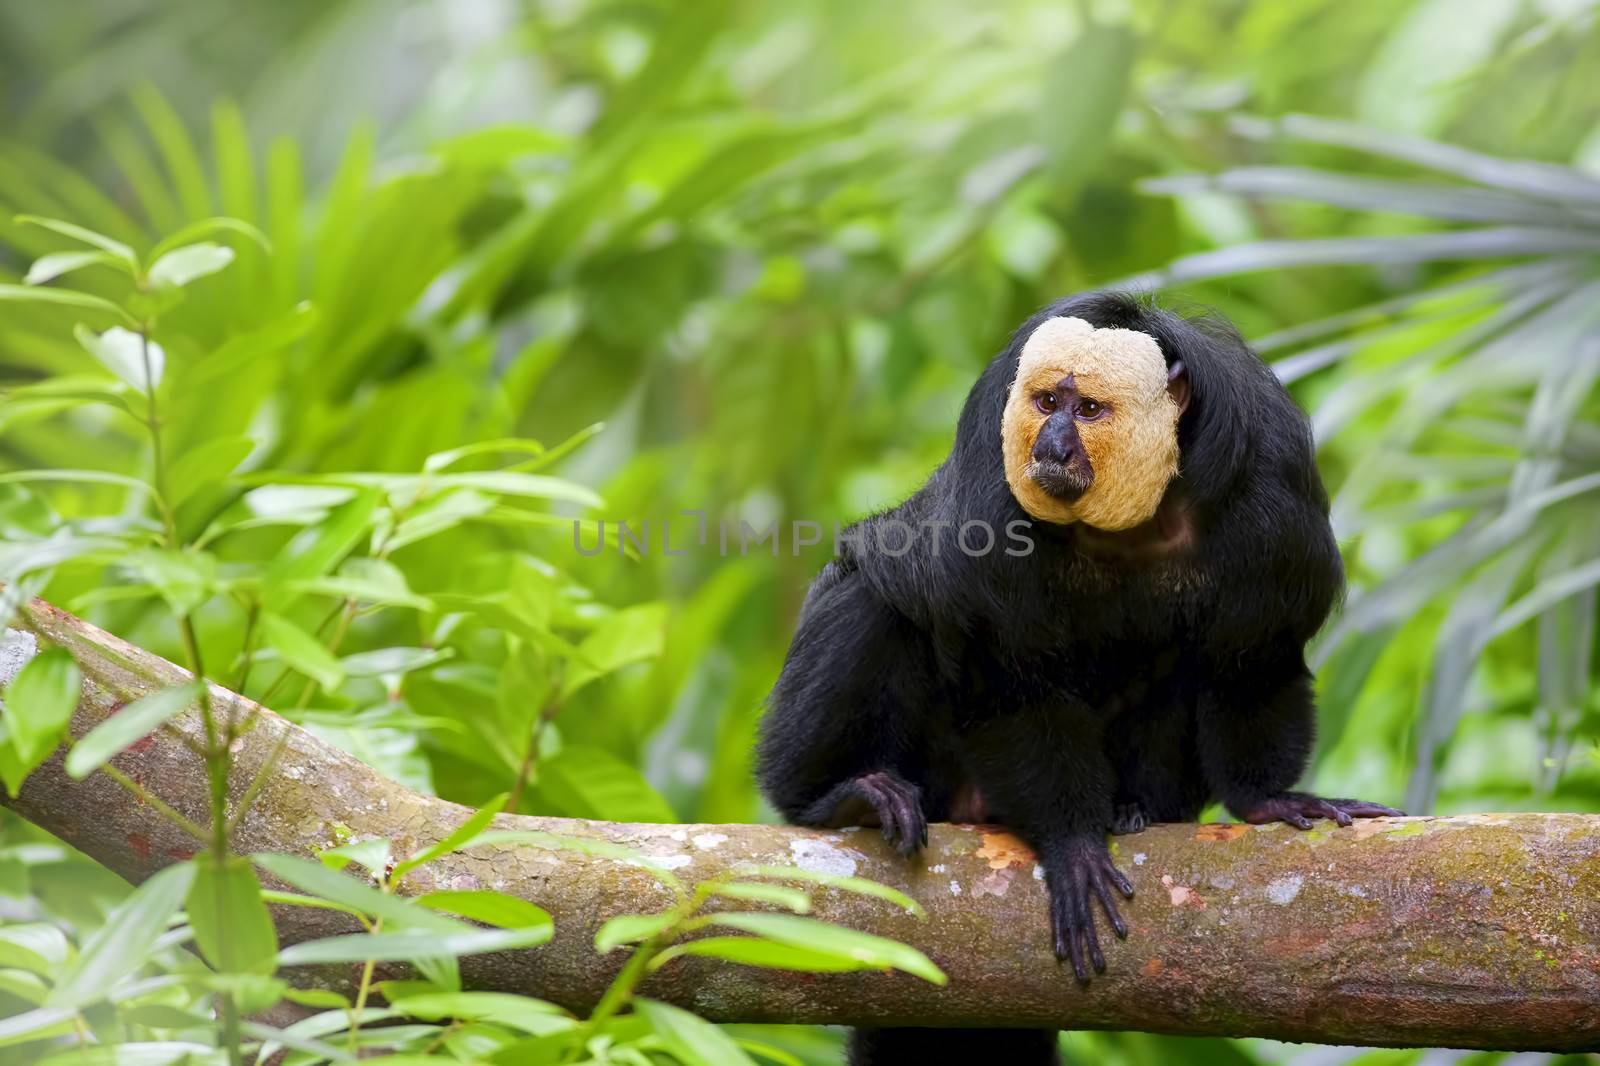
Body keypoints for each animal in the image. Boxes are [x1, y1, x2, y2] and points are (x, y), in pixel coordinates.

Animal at [755, 291, 1395, 1062]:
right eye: (1045, 402)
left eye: (1087, 409)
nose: (1051, 445)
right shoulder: (993, 507)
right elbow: (1011, 679)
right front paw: (1074, 843)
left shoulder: (1273, 502)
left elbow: (1249, 662)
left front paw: (1267, 799)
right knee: (871, 595)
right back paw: (839, 798)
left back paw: (1136, 808)